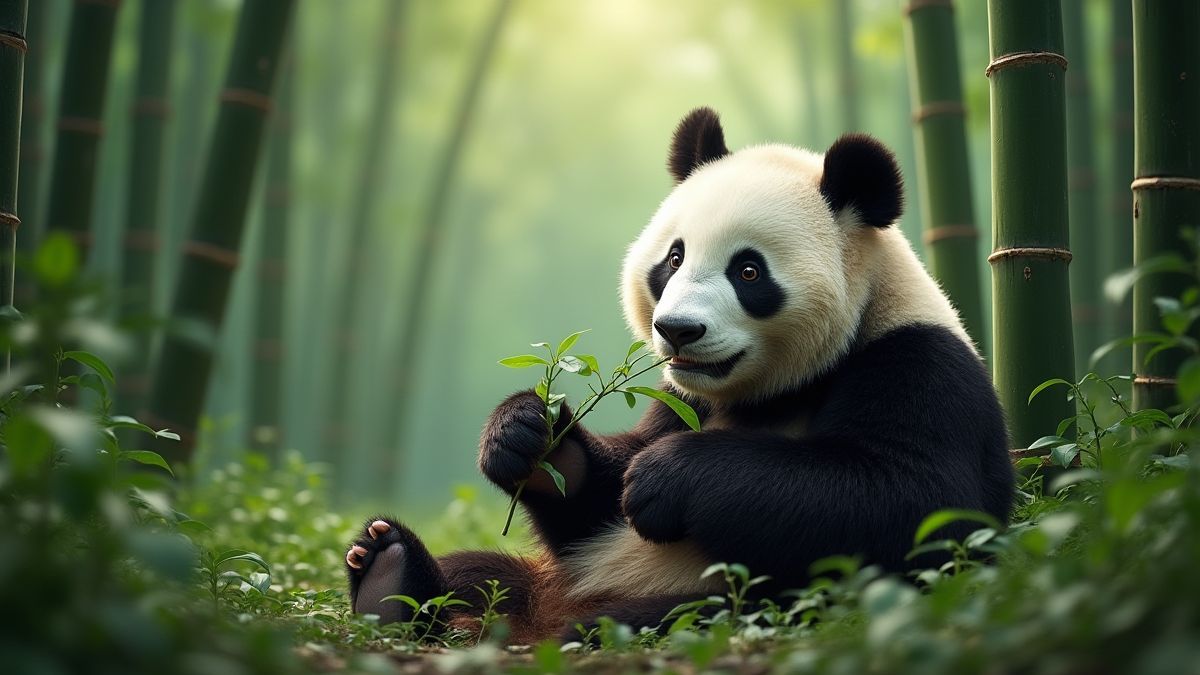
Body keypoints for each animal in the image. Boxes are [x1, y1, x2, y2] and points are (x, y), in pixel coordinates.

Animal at [344, 107, 1013, 643]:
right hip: (543, 580)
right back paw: (392, 576)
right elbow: (595, 505)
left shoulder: (917, 364)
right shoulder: (680, 398)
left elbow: (915, 504)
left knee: (669, 616)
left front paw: (666, 479)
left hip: (732, 604)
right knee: (479, 573)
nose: (677, 330)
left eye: (748, 271)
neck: (780, 387)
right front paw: (528, 436)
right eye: (673, 258)